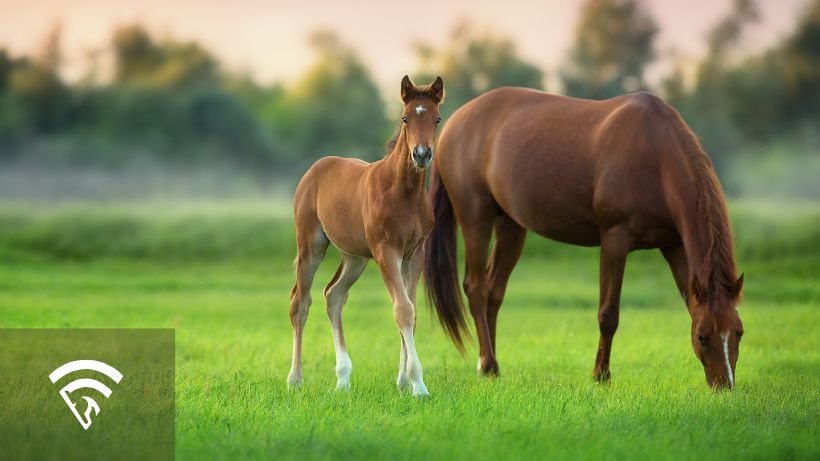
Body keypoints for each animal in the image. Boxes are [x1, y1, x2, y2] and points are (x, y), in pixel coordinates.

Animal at [286, 75, 442, 396]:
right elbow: (402, 310)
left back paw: (343, 379)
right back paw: (295, 380)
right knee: (300, 303)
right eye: (405, 118)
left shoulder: (415, 253)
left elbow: (411, 312)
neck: (403, 192)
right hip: (311, 245)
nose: (421, 154)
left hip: (355, 256)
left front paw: (403, 382)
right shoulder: (386, 252)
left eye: (437, 118)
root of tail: (316, 167)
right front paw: (419, 385)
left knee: (333, 295)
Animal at [426, 87, 748, 388]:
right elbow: (608, 314)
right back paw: (488, 363)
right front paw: (600, 375)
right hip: (475, 218)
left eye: (739, 333)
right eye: (703, 336)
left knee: (494, 292)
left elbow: (689, 304)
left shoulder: (674, 246)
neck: (656, 155)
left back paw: (490, 366)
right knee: (477, 289)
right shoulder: (615, 239)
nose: (724, 386)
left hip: (511, 226)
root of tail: (453, 122)